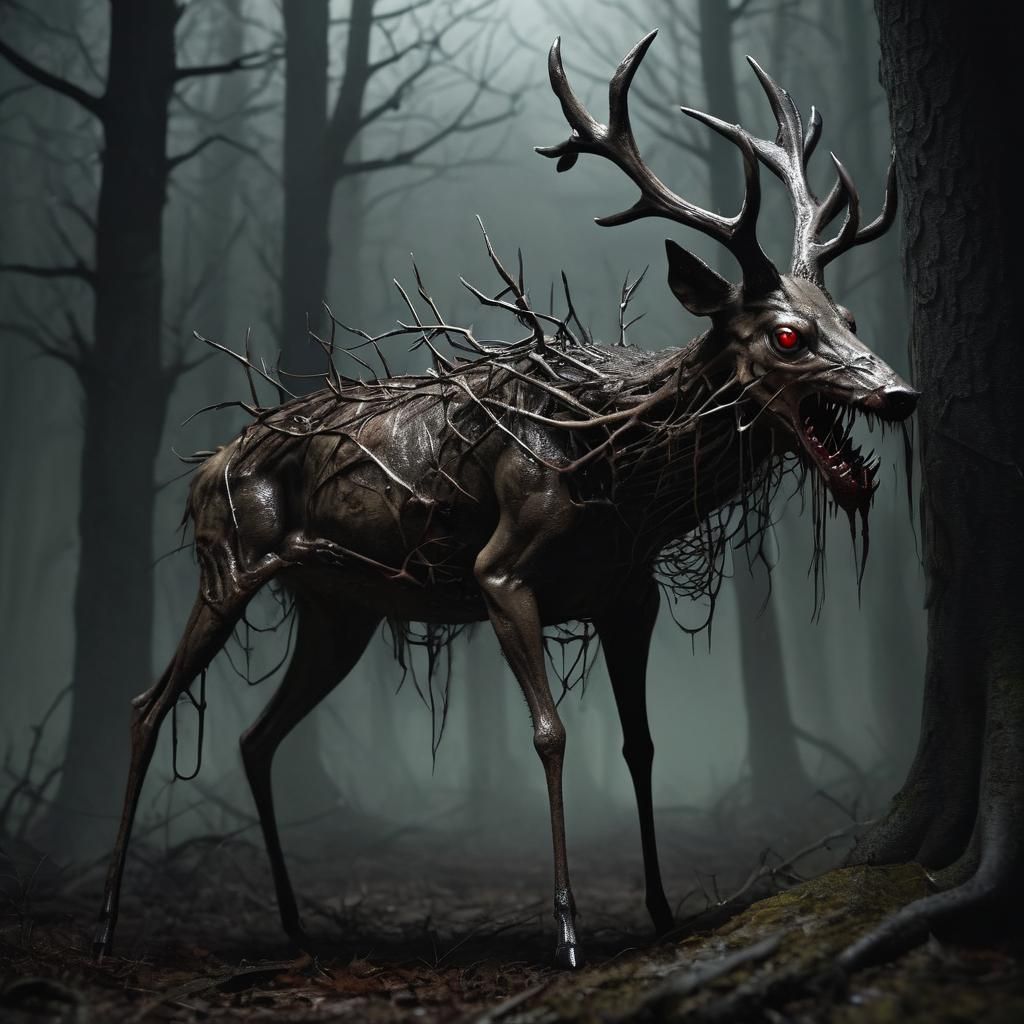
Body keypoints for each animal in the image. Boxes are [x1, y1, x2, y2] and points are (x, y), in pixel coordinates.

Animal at [92, 31, 916, 970]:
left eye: (850, 317)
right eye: (786, 335)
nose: (899, 394)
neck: (623, 471)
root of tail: (206, 465)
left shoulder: (630, 594)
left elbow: (640, 742)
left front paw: (662, 909)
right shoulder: (501, 572)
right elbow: (551, 733)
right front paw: (566, 927)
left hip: (339, 610)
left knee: (256, 734)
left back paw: (295, 923)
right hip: (229, 559)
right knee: (147, 706)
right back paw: (109, 919)